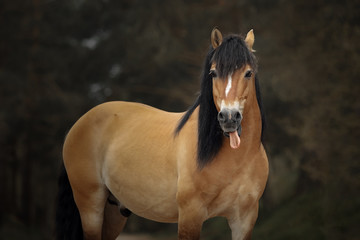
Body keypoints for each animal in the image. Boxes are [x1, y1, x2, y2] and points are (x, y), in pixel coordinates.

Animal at [55, 28, 268, 240]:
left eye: (248, 73)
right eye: (213, 73)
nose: (229, 118)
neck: (237, 160)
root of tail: (78, 124)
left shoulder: (244, 220)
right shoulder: (191, 215)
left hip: (113, 212)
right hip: (91, 207)